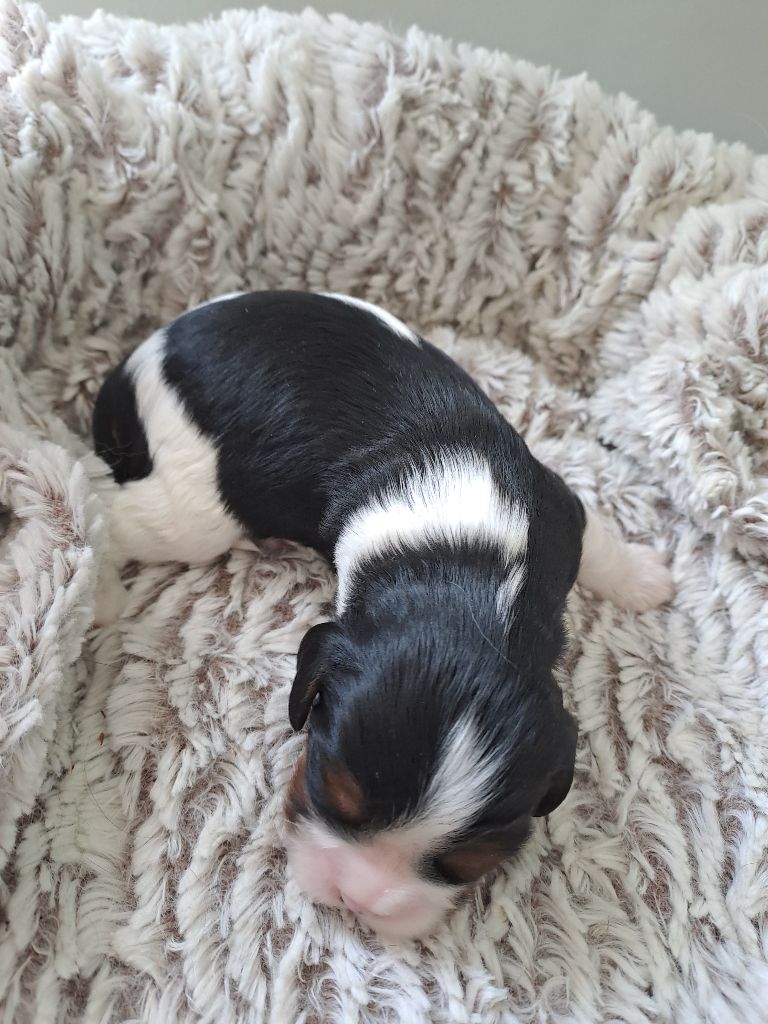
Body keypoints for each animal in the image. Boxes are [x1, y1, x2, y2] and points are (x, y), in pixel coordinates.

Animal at [92, 290, 674, 940]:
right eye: (328, 789)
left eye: (464, 861)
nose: (358, 900)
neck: (464, 580)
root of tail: (147, 352)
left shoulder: (558, 509)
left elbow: (598, 540)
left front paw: (643, 578)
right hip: (195, 501)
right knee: (108, 504)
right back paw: (100, 591)